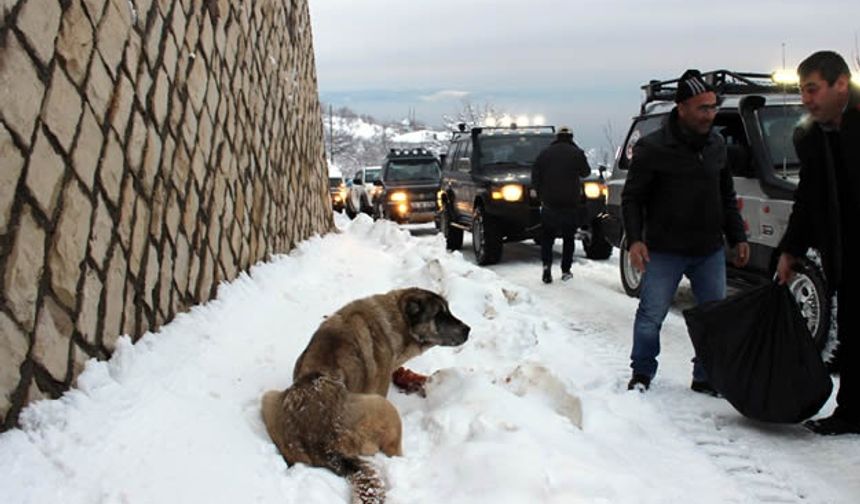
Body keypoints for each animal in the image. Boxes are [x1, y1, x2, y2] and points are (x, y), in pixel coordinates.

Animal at [262, 290, 470, 502]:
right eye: (439, 315)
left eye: (448, 310)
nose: (468, 329)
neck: (396, 318)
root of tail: (326, 447)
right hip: (384, 407)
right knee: (394, 452)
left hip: (268, 398)